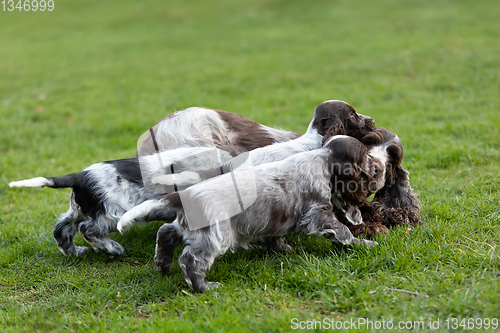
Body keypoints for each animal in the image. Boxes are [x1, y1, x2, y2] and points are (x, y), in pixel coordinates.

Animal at [117, 135, 386, 290]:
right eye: (365, 155)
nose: (377, 167)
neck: (322, 158)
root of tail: (186, 195)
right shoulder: (319, 213)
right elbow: (341, 231)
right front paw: (363, 243)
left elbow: (274, 236)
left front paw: (281, 248)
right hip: (216, 235)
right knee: (191, 259)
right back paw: (204, 286)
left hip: (188, 226)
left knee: (165, 232)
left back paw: (162, 264)